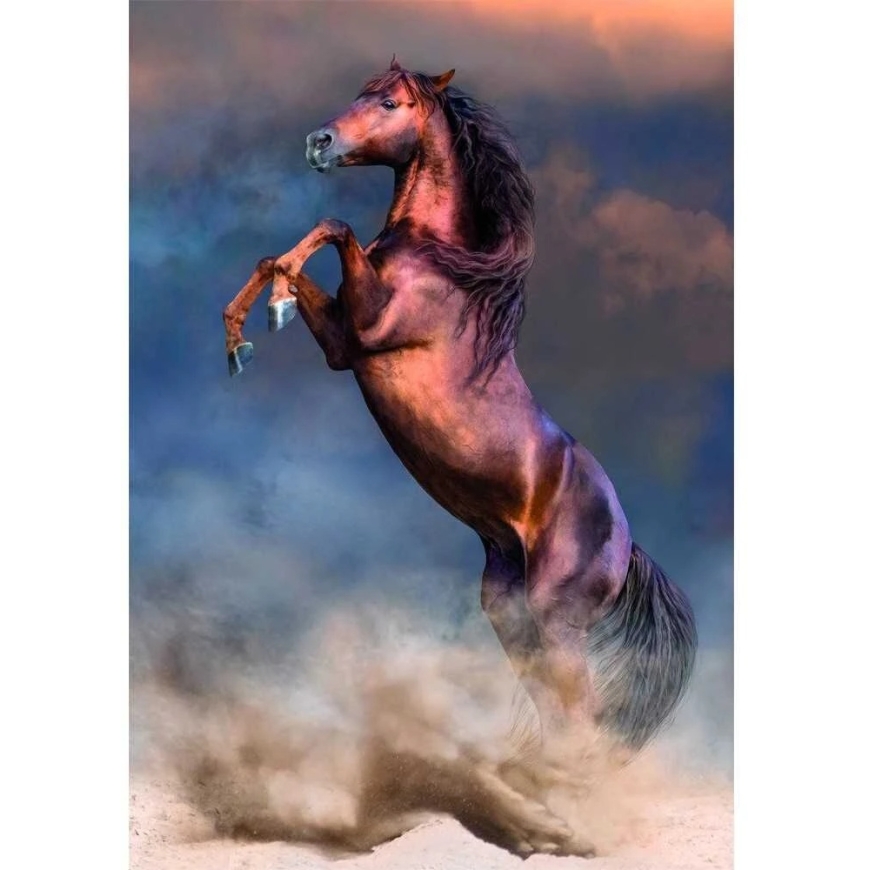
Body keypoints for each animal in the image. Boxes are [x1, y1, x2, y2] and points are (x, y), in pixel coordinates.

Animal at [222, 58, 697, 852]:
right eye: (358, 93)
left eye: (389, 102)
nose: (319, 143)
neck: (438, 263)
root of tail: (627, 543)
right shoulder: (344, 343)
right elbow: (282, 256)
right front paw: (245, 332)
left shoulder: (368, 327)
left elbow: (333, 226)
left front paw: (269, 313)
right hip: (511, 614)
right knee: (559, 716)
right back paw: (536, 808)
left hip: (555, 618)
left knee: (582, 717)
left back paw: (563, 818)